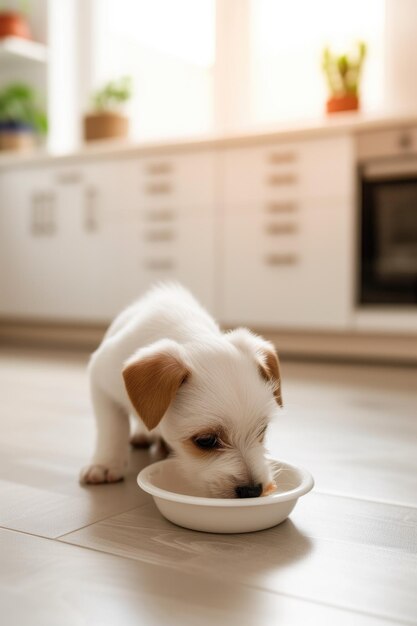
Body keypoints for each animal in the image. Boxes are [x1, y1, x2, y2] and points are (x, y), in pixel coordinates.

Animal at [79, 284, 282, 498]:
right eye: (206, 441)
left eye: (263, 430)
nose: (252, 490)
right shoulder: (101, 381)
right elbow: (112, 428)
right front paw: (104, 465)